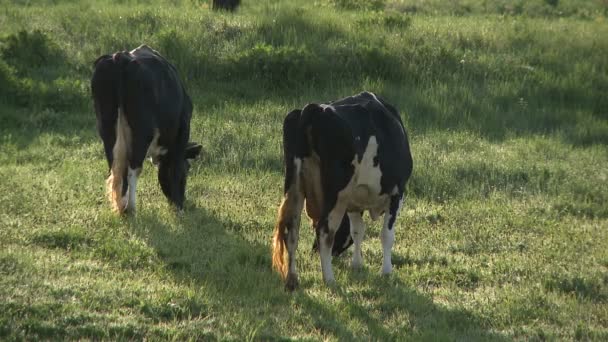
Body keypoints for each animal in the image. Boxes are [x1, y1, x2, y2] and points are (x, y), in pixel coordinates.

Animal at [91, 45, 202, 214]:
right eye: (188, 168)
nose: (181, 202)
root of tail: (121, 56)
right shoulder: (181, 134)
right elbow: (175, 169)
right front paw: (179, 208)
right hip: (142, 132)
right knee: (133, 168)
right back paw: (130, 208)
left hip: (106, 126)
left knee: (115, 168)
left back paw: (120, 206)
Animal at [274, 92, 414, 290]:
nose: (313, 250)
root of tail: (315, 109)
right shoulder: (396, 193)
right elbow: (386, 235)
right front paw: (386, 271)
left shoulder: (353, 201)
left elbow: (357, 231)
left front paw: (357, 264)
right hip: (335, 196)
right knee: (324, 231)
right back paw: (329, 279)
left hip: (295, 187)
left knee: (292, 229)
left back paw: (292, 279)